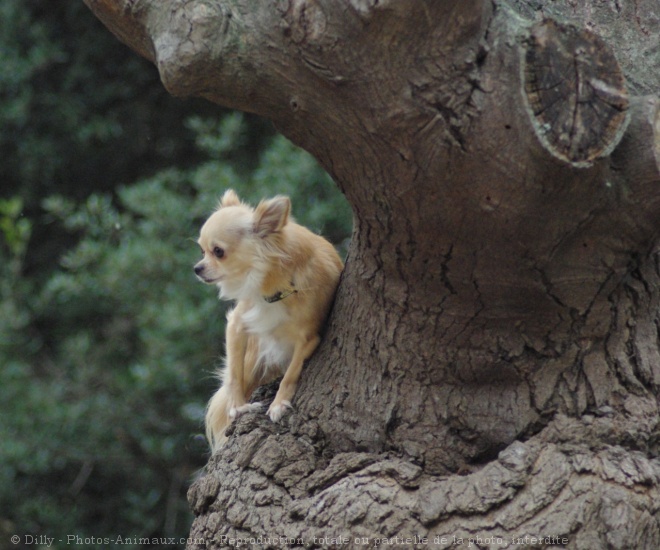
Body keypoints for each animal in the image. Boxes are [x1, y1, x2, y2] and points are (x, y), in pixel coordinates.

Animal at [195, 190, 340, 452]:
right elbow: (235, 373)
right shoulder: (237, 325)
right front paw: (238, 407)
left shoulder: (308, 339)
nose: (197, 268)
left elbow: (292, 372)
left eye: (218, 251)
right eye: (202, 251)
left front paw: (278, 404)